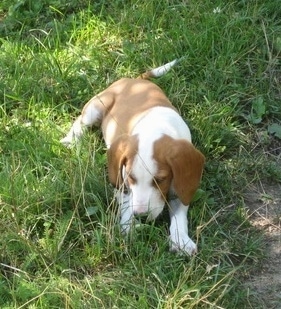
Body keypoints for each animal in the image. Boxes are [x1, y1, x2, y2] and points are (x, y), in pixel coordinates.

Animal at [61, 60, 203, 255]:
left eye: (160, 180)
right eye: (130, 178)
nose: (141, 217)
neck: (156, 127)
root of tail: (133, 80)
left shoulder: (181, 185)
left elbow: (179, 216)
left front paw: (181, 240)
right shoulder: (120, 182)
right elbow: (127, 203)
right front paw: (128, 228)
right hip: (95, 107)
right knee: (80, 122)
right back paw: (71, 139)